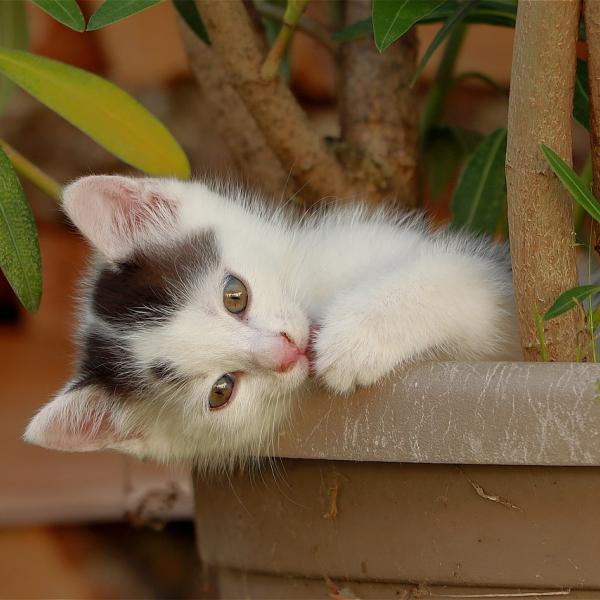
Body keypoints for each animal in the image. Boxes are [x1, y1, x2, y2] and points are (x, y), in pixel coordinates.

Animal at [23, 176, 520, 466]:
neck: (318, 297)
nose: (287, 350)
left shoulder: (490, 277)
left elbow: (448, 278)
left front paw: (353, 337)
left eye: (234, 294)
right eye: (221, 391)